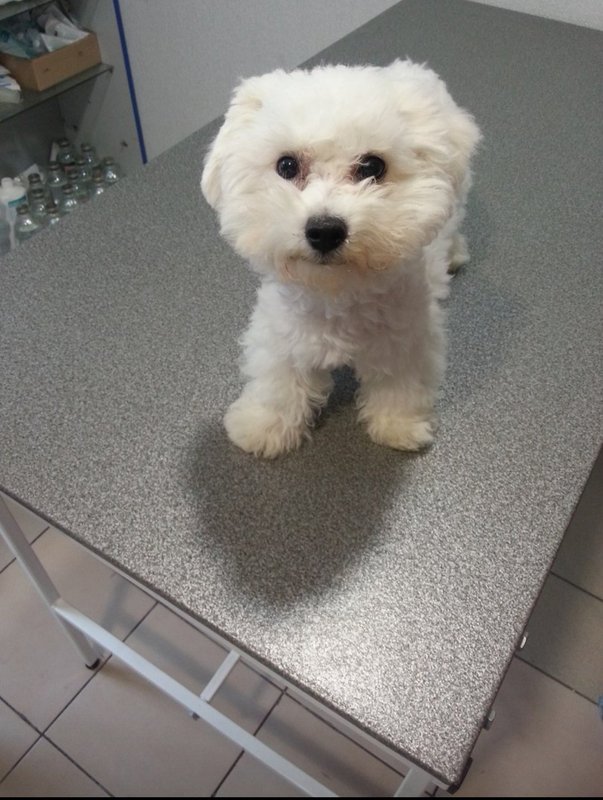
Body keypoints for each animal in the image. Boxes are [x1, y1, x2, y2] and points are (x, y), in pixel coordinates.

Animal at [201, 60, 481, 457]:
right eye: (287, 165)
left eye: (372, 167)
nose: (324, 230)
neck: (337, 293)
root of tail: (412, 68)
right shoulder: (281, 329)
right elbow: (277, 378)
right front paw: (265, 423)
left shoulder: (407, 336)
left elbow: (400, 383)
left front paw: (398, 424)